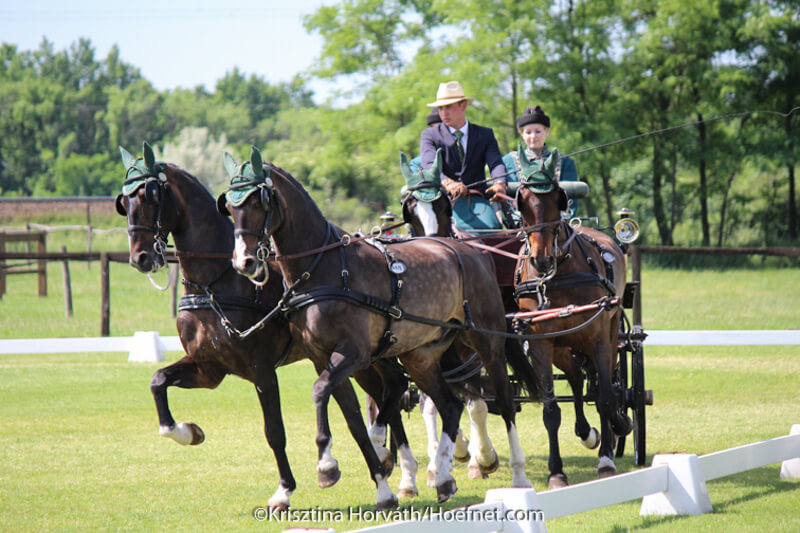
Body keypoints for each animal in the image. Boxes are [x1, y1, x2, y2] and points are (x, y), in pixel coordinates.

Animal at [114, 143, 421, 511]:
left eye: (151, 195)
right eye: (124, 201)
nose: (140, 257)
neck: (215, 284)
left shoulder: (261, 369)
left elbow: (274, 431)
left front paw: (284, 491)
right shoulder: (208, 369)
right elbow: (158, 381)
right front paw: (188, 432)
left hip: (371, 356)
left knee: (390, 395)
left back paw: (401, 474)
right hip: (364, 361)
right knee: (385, 397)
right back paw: (396, 473)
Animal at [218, 146, 532, 506]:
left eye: (260, 202)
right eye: (230, 207)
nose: (244, 262)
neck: (323, 269)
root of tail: (469, 250)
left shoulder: (353, 354)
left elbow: (321, 393)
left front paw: (327, 465)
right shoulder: (324, 358)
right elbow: (352, 417)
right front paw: (380, 483)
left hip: (486, 340)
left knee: (503, 402)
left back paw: (518, 476)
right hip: (421, 355)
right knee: (449, 406)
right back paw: (441, 477)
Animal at [510, 147, 632, 488]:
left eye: (558, 198)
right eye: (522, 201)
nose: (540, 260)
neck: (557, 275)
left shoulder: (597, 335)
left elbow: (605, 397)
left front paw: (607, 456)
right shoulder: (540, 343)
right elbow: (551, 410)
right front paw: (556, 472)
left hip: (610, 330)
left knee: (608, 380)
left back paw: (615, 426)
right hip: (562, 346)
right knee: (577, 377)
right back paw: (586, 431)